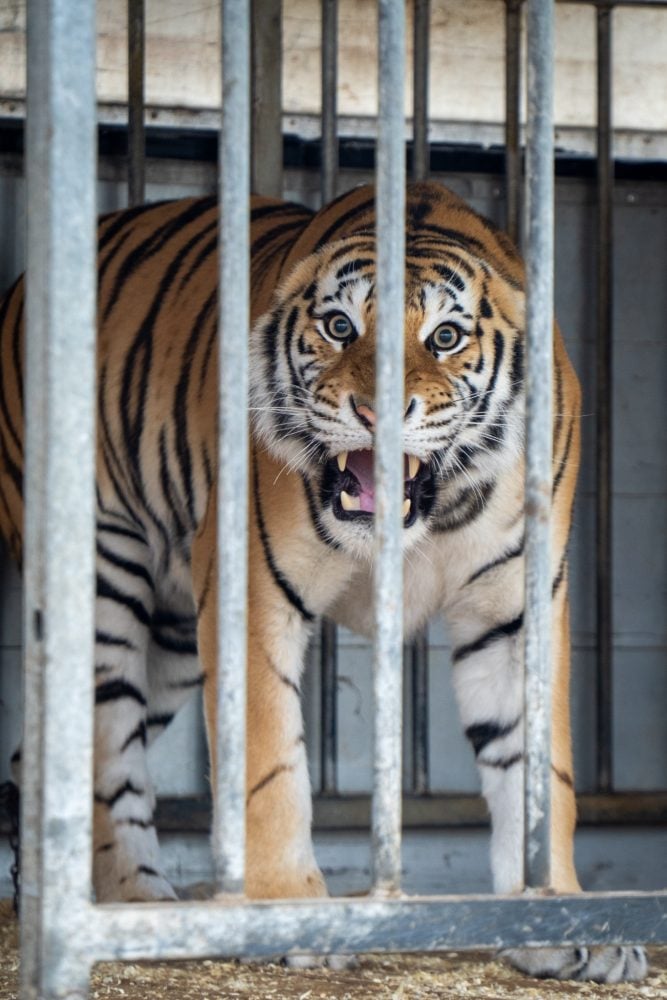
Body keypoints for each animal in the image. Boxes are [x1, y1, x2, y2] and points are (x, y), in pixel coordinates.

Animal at [0, 181, 646, 982]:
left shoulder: (516, 614)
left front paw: (558, 919)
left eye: (445, 338)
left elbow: (538, 771)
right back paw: (141, 905)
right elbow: (270, 764)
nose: (377, 414)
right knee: (103, 756)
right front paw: (293, 913)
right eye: (340, 327)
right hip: (102, 573)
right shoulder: (251, 587)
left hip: (174, 635)